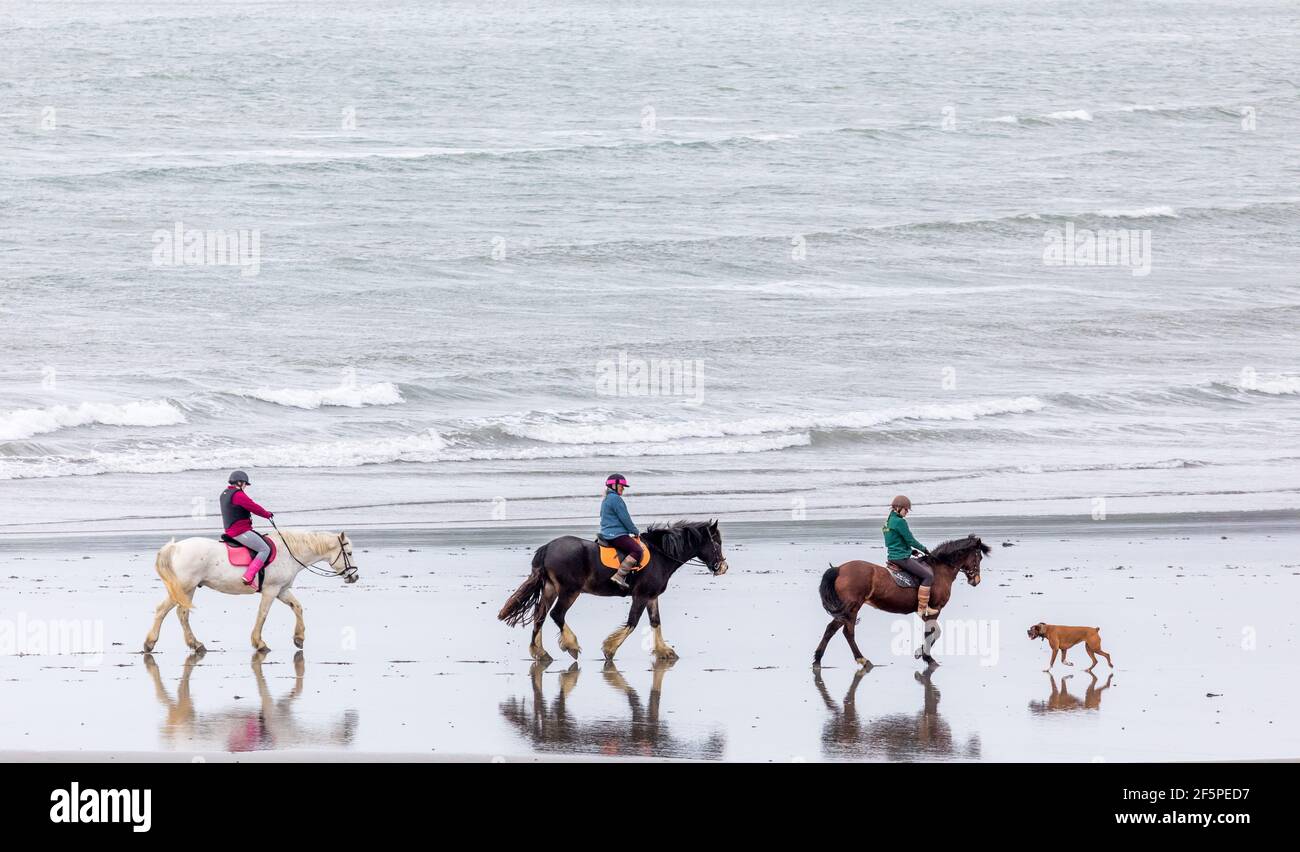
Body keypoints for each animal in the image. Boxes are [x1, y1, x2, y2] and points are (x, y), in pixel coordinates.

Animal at [142, 530, 361, 655]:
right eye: (349, 553)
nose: (354, 577)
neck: (289, 553)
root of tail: (175, 547)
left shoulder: (282, 590)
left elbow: (297, 607)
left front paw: (299, 638)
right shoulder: (271, 590)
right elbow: (262, 615)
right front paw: (259, 643)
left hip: (188, 589)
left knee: (181, 613)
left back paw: (195, 644)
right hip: (185, 587)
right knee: (164, 610)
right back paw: (151, 643)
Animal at [493, 520, 728, 665]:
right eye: (717, 543)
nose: (723, 567)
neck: (661, 554)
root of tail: (547, 548)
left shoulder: (652, 597)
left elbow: (655, 622)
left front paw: (665, 651)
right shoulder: (641, 595)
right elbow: (633, 622)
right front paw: (609, 649)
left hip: (550, 589)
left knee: (540, 617)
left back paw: (540, 653)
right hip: (569, 591)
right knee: (556, 614)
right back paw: (571, 645)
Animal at [811, 535, 982, 671]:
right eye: (978, 557)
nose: (976, 580)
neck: (940, 569)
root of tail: (839, 569)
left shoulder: (925, 612)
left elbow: (933, 632)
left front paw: (922, 653)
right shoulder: (936, 608)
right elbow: (933, 632)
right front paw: (926, 657)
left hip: (845, 610)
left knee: (832, 630)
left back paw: (818, 660)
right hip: (852, 607)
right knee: (847, 632)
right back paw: (862, 659)